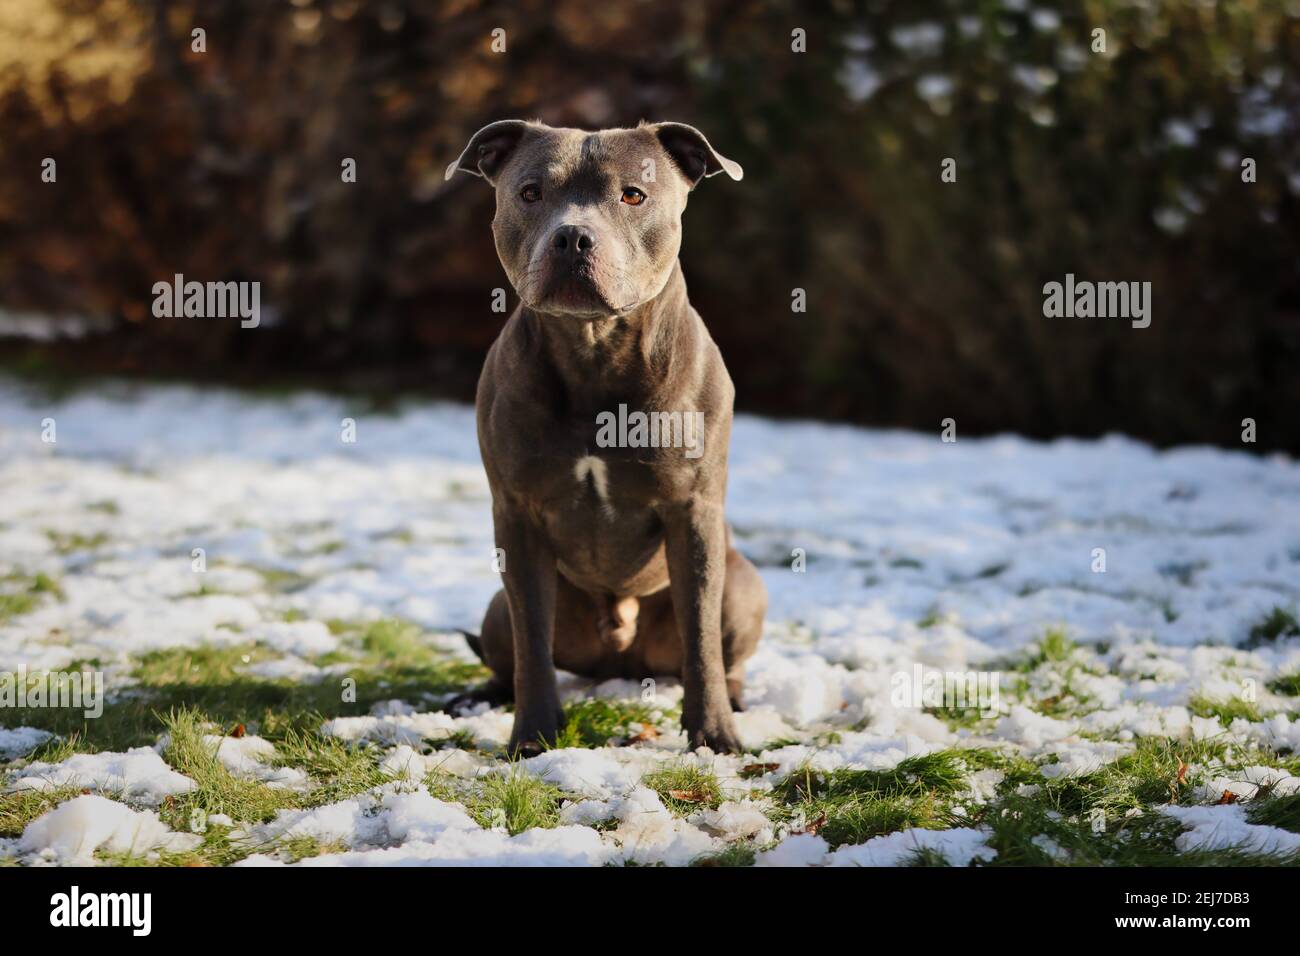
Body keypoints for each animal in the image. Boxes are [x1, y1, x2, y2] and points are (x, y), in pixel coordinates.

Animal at [447, 119, 764, 754]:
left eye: (633, 195)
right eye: (530, 193)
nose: (572, 238)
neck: (594, 347)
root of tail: (618, 663)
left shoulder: (692, 512)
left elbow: (700, 636)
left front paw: (715, 737)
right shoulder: (516, 516)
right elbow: (532, 642)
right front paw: (532, 736)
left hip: (745, 586)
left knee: (724, 651)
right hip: (495, 607)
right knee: (508, 650)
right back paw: (478, 698)